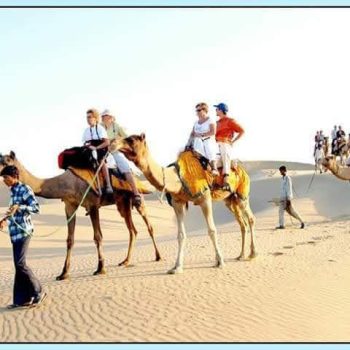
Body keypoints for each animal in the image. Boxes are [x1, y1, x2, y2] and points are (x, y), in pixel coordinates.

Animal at [0, 152, 161, 280]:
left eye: (6, 161)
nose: (2, 174)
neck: (68, 183)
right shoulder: (70, 206)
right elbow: (69, 240)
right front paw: (63, 273)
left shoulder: (93, 204)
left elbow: (98, 236)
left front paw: (100, 268)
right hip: (122, 203)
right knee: (132, 230)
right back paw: (125, 261)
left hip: (137, 197)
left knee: (149, 225)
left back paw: (158, 256)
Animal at [115, 133, 258, 274]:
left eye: (131, 139)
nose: (114, 142)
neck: (178, 177)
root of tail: (243, 170)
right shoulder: (178, 202)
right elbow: (181, 235)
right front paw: (176, 267)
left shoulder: (204, 198)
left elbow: (212, 230)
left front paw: (220, 262)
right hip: (230, 200)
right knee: (242, 223)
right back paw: (241, 255)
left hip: (242, 195)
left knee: (250, 219)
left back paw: (253, 254)